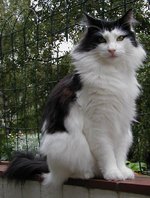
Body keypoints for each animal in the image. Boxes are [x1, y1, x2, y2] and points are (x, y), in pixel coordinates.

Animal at [4, 9, 145, 187]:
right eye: (101, 39)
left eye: (120, 38)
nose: (112, 50)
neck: (112, 73)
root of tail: (49, 168)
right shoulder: (98, 123)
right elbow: (107, 152)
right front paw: (113, 173)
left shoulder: (121, 121)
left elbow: (119, 153)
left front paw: (122, 172)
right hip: (66, 143)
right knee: (67, 174)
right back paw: (88, 174)